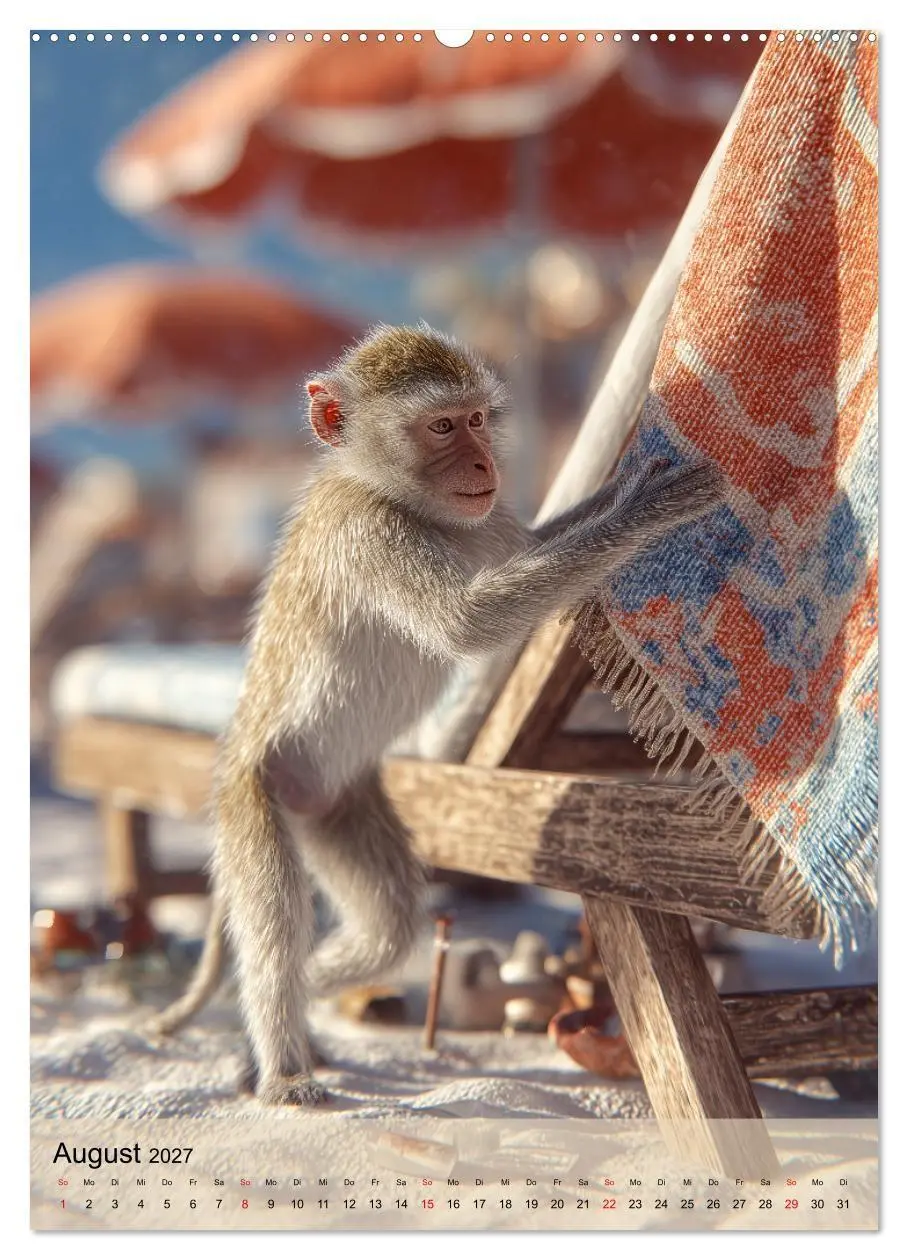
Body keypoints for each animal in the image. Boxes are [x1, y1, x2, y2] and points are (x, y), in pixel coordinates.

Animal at [149, 323, 724, 1107]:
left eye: (478, 419)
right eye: (442, 427)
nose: (484, 460)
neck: (403, 502)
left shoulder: (493, 519)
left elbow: (537, 550)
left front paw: (616, 490)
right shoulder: (369, 534)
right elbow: (468, 623)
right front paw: (648, 507)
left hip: (334, 803)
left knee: (387, 925)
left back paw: (302, 1008)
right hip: (253, 794)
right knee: (274, 928)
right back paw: (282, 1064)